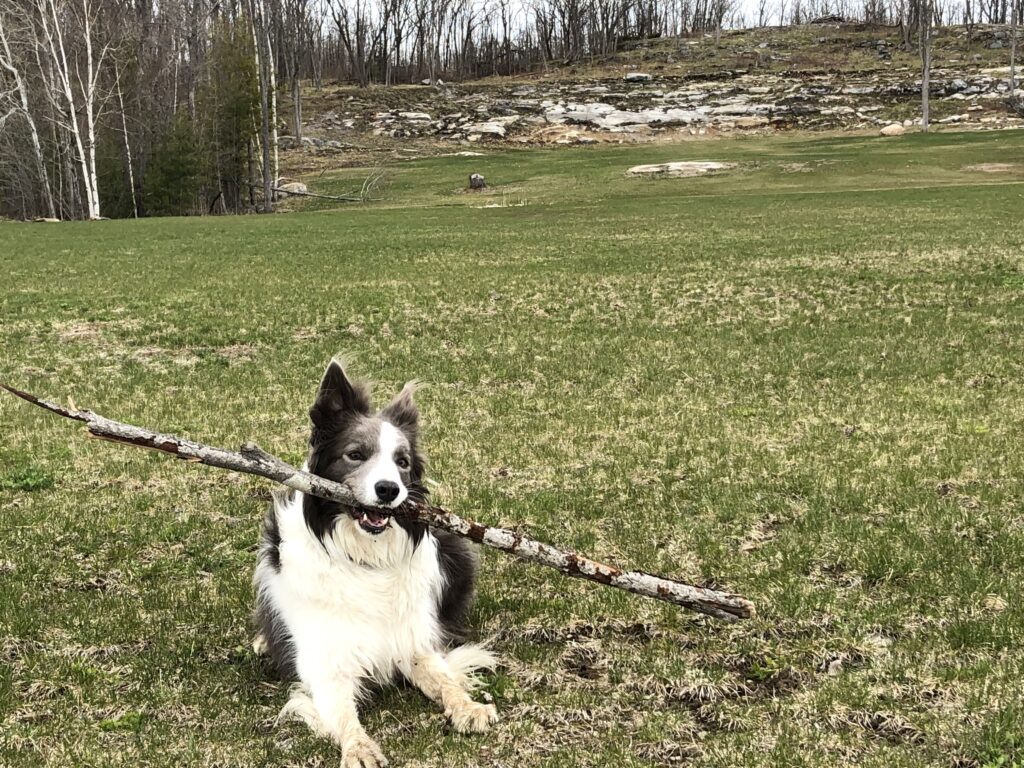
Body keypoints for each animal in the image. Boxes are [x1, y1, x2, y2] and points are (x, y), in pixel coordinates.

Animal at [253, 362, 497, 768]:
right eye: (355, 454)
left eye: (402, 462)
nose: (388, 490)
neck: (365, 557)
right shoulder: (327, 665)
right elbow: (344, 715)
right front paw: (359, 748)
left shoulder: (412, 641)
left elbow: (444, 678)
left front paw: (468, 706)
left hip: (457, 551)